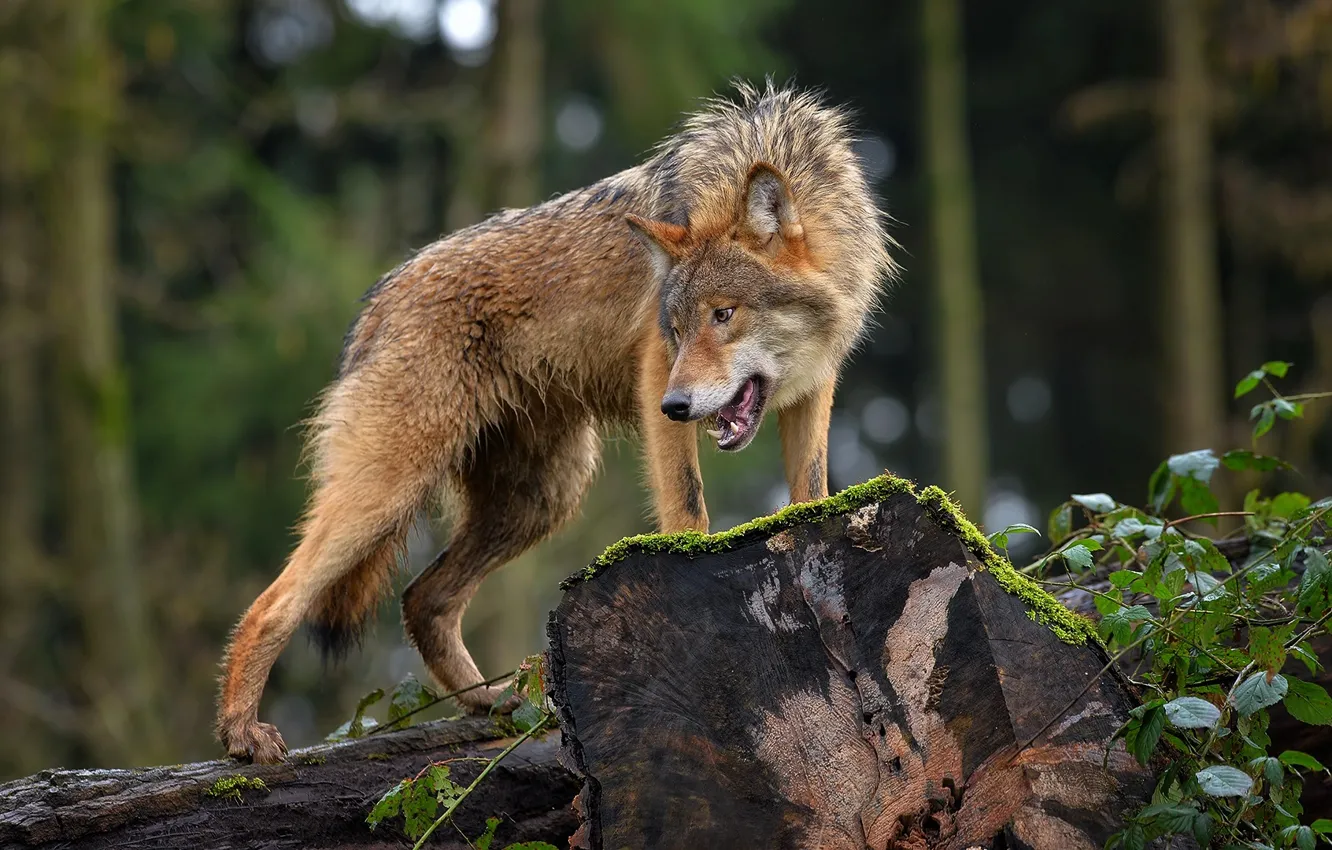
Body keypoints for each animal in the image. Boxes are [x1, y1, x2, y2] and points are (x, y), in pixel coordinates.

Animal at [216, 80, 897, 762]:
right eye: (676, 330)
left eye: (724, 315)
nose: (676, 406)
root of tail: (378, 298)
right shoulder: (656, 373)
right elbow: (690, 510)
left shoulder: (814, 389)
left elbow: (811, 495)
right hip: (392, 491)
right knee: (276, 603)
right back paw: (242, 733)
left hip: (542, 498)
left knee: (422, 599)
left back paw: (495, 705)